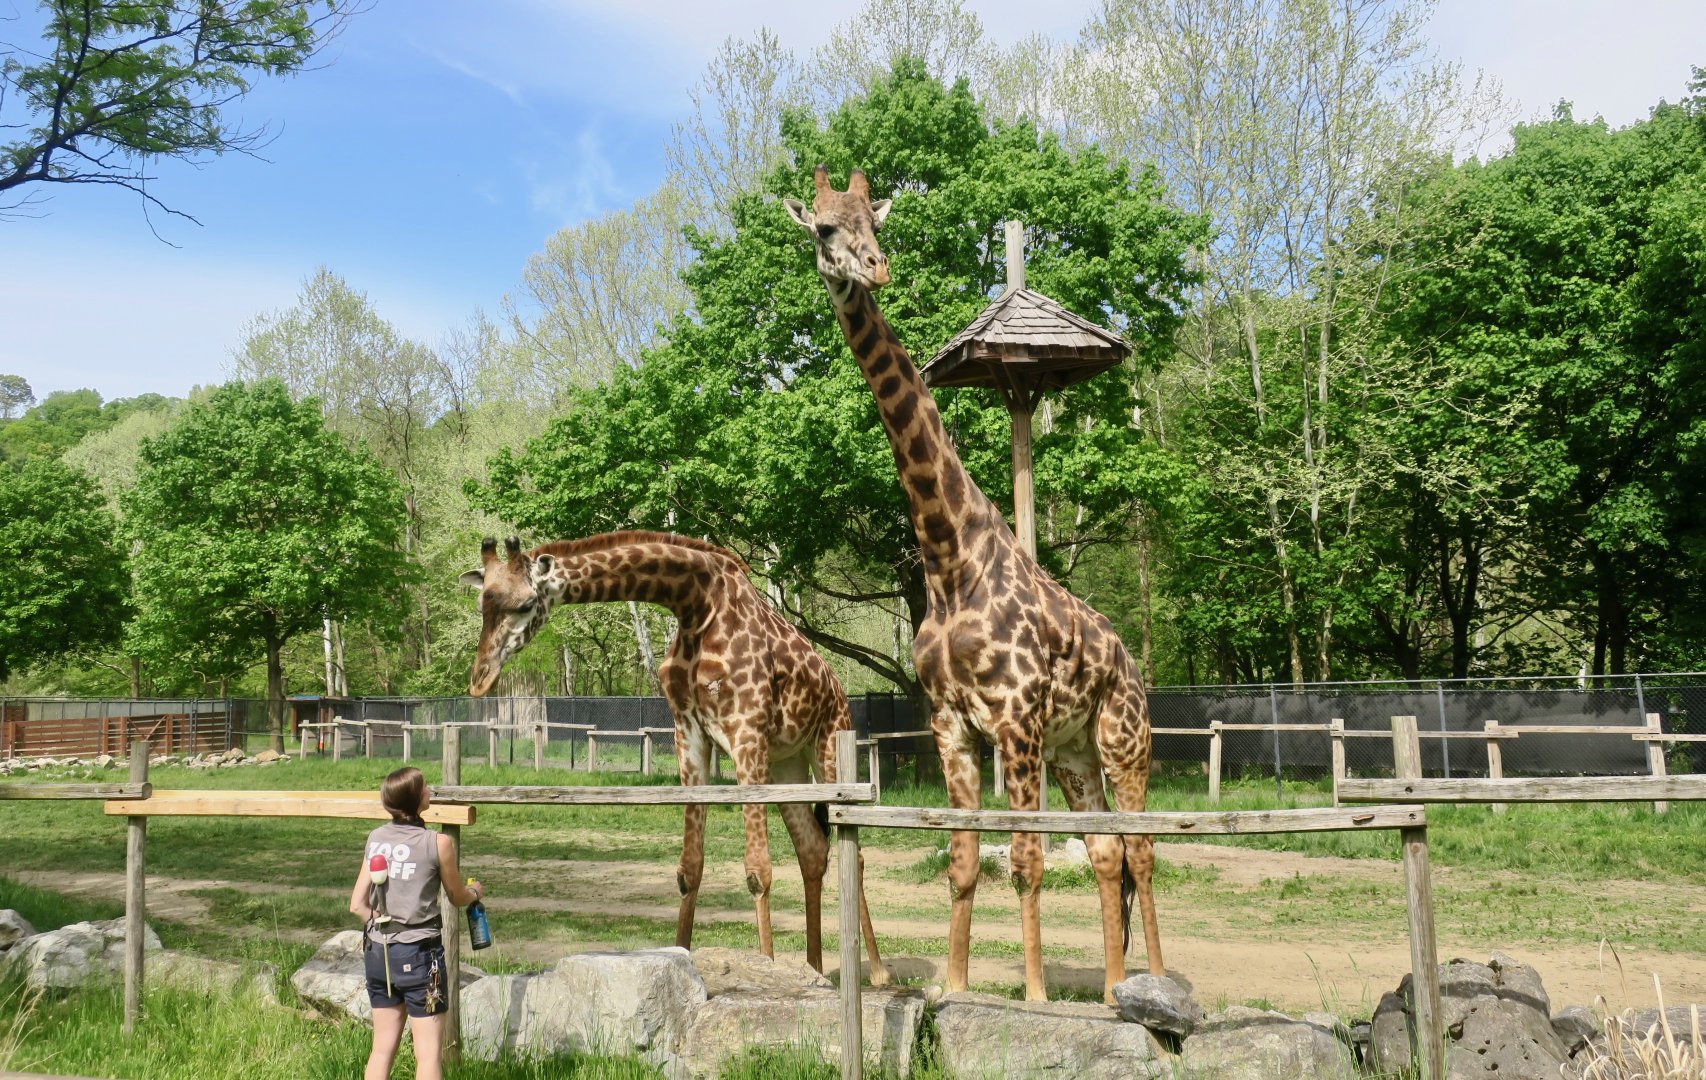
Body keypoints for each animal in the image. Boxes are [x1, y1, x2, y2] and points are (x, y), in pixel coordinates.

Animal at [460, 531, 888, 983]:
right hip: (786, 764)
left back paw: (878, 972)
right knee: (813, 849)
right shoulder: (690, 735)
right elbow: (690, 869)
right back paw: (815, 968)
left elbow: (758, 871)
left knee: (854, 852)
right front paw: (682, 957)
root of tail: (838, 690)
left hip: (828, 749)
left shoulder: (746, 732)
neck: (695, 605)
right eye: (482, 604)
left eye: (526, 604)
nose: (479, 679)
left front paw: (767, 969)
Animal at [785, 166, 1164, 1003]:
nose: (875, 268)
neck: (949, 557)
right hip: (1075, 751)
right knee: (1107, 853)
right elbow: (963, 862)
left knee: (1143, 851)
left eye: (875, 221)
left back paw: (1155, 979)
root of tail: (1129, 661)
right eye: (825, 228)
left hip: (1122, 738)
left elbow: (1023, 860)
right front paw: (955, 988)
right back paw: (1115, 989)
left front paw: (1036, 997)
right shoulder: (953, 723)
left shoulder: (1015, 720)